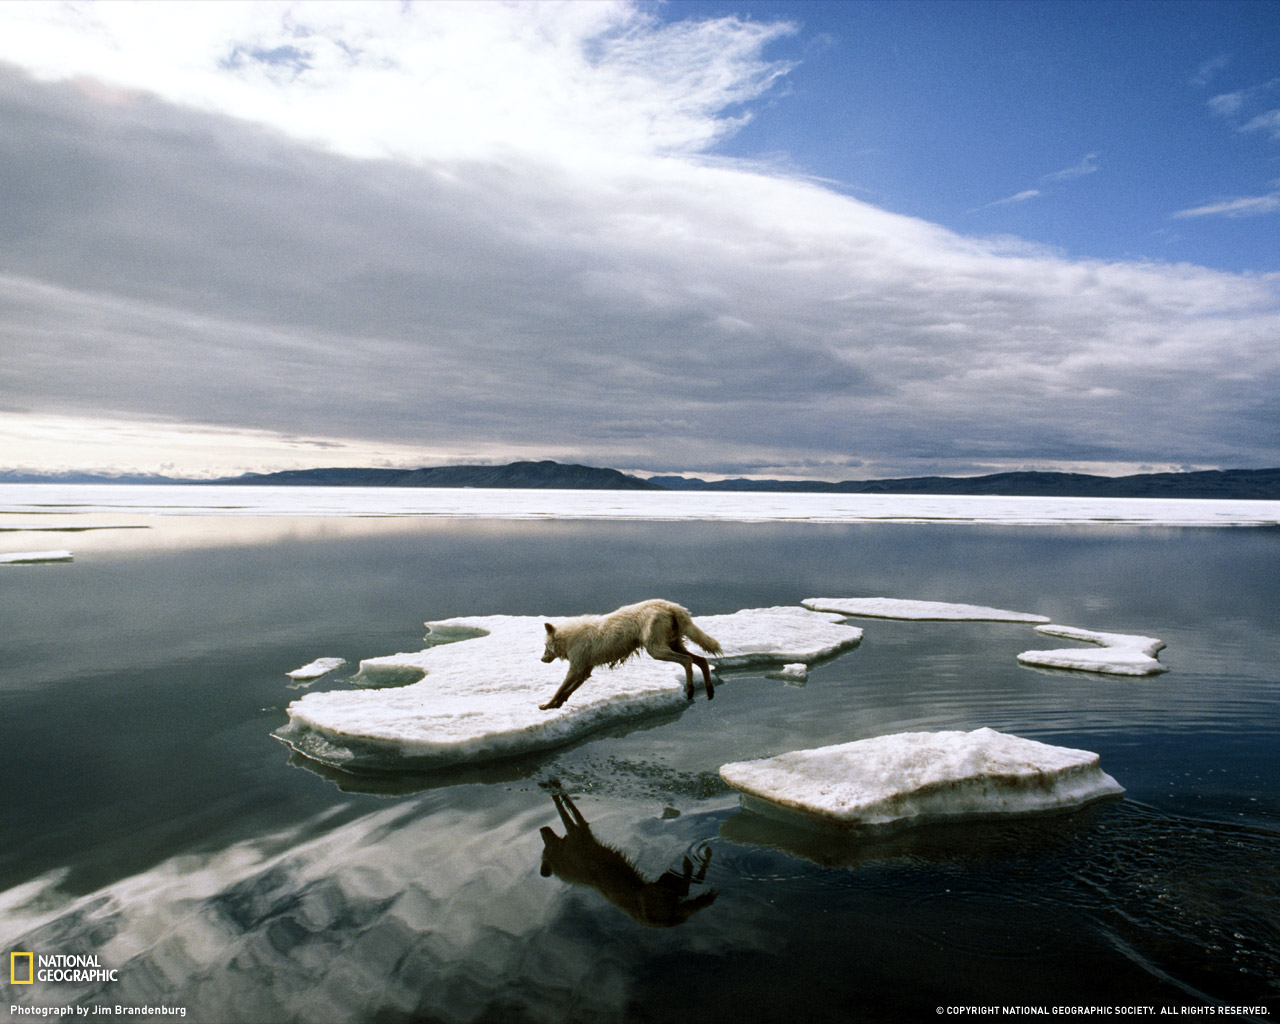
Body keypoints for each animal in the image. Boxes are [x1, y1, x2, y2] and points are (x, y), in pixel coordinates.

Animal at [535, 599, 727, 711]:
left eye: (545, 646)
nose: (542, 660)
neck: (568, 638)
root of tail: (670, 605)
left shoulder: (576, 668)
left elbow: (560, 688)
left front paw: (547, 705)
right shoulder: (585, 670)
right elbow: (568, 690)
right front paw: (558, 705)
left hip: (656, 650)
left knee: (688, 661)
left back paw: (690, 690)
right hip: (673, 645)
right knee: (701, 660)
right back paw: (709, 691)